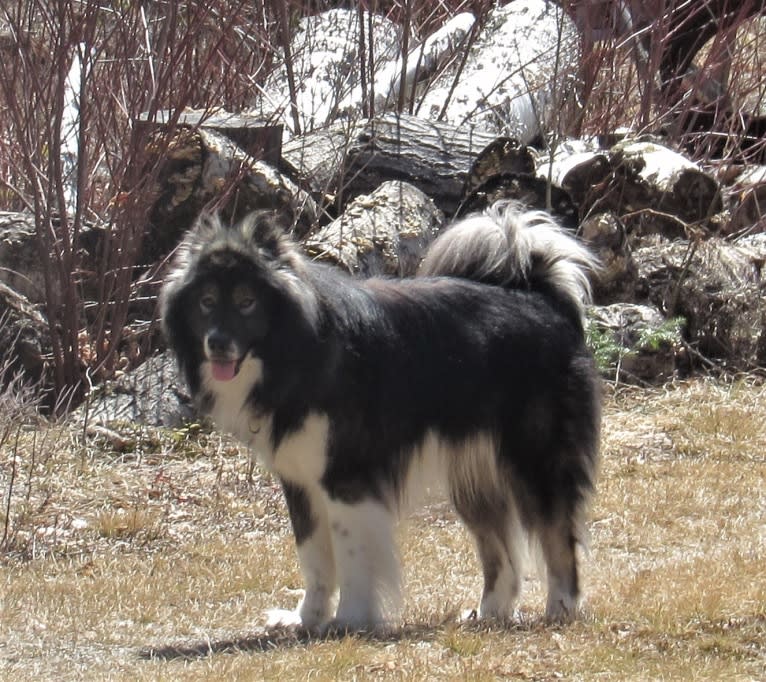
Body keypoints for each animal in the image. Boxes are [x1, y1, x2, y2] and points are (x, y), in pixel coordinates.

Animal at [162, 202, 604, 632]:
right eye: (206, 302)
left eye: (246, 302)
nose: (217, 344)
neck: (300, 350)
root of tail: (542, 298)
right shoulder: (301, 482)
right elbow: (314, 559)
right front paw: (306, 619)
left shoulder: (345, 479)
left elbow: (351, 556)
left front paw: (351, 620)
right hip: (473, 473)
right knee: (501, 553)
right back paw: (490, 614)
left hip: (535, 462)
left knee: (557, 538)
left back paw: (560, 609)